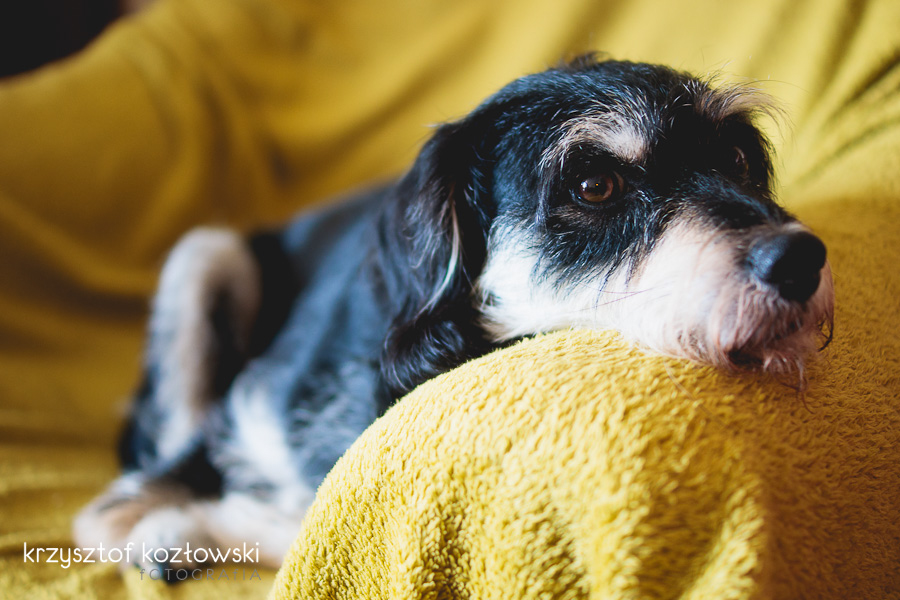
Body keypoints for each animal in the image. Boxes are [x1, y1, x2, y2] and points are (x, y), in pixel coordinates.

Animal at [74, 56, 834, 574]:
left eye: (736, 156)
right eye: (594, 184)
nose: (799, 259)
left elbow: (319, 524)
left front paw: (187, 528)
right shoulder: (240, 417)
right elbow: (115, 518)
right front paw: (172, 525)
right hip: (205, 253)